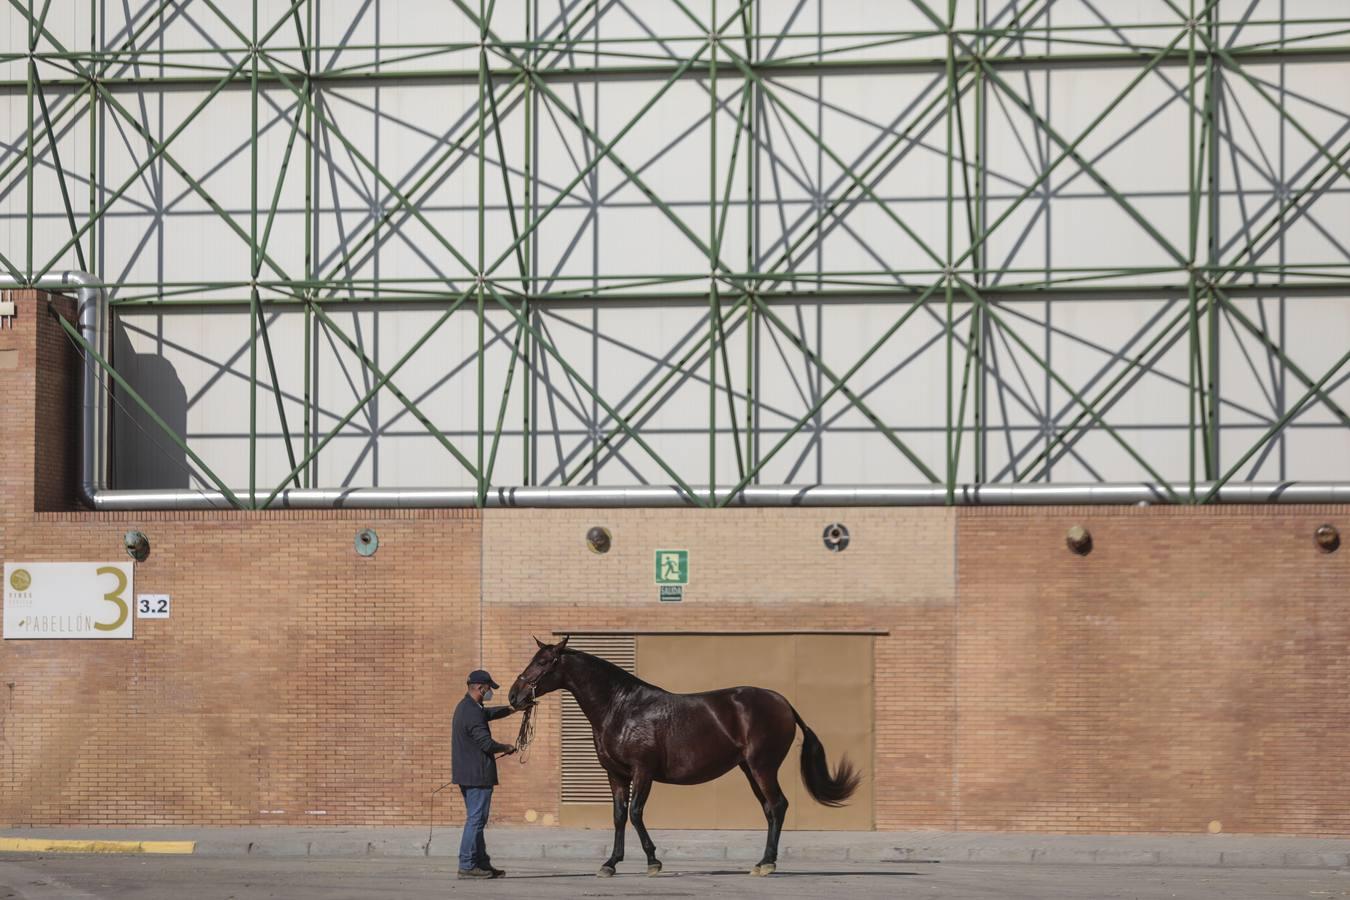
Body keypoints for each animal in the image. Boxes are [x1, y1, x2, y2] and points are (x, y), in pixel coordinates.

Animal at [510, 636, 858, 874]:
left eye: (543, 662)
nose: (514, 696)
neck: (622, 708)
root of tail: (783, 703)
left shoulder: (643, 771)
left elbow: (636, 813)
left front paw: (653, 860)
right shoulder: (616, 774)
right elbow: (619, 816)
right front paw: (610, 863)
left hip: (763, 766)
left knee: (778, 805)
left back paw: (767, 863)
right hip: (749, 769)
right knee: (770, 810)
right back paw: (762, 862)